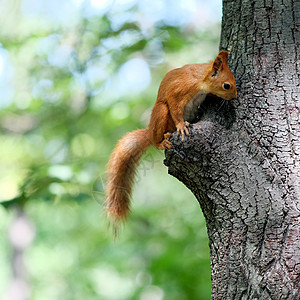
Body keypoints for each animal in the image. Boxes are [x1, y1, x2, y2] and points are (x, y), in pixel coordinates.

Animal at [105, 51, 237, 225]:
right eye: (226, 85)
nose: (235, 97)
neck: (200, 80)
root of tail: (150, 132)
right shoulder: (179, 90)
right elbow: (175, 107)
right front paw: (181, 126)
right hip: (161, 114)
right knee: (158, 132)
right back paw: (161, 141)